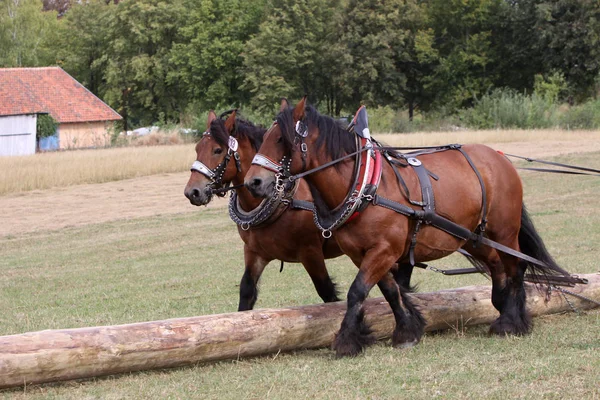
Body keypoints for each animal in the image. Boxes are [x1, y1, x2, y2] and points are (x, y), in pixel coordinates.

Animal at [183, 110, 342, 312]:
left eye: (217, 150)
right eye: (197, 148)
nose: (192, 192)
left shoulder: (311, 252)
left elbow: (327, 293)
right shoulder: (254, 253)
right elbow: (246, 291)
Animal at [245, 98, 572, 358]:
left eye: (281, 140)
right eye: (265, 137)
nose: (253, 182)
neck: (366, 186)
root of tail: (500, 159)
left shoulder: (383, 250)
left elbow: (357, 291)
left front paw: (347, 341)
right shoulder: (365, 254)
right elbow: (389, 291)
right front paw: (407, 331)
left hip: (504, 232)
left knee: (516, 267)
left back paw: (511, 321)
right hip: (473, 237)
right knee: (497, 265)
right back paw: (502, 306)